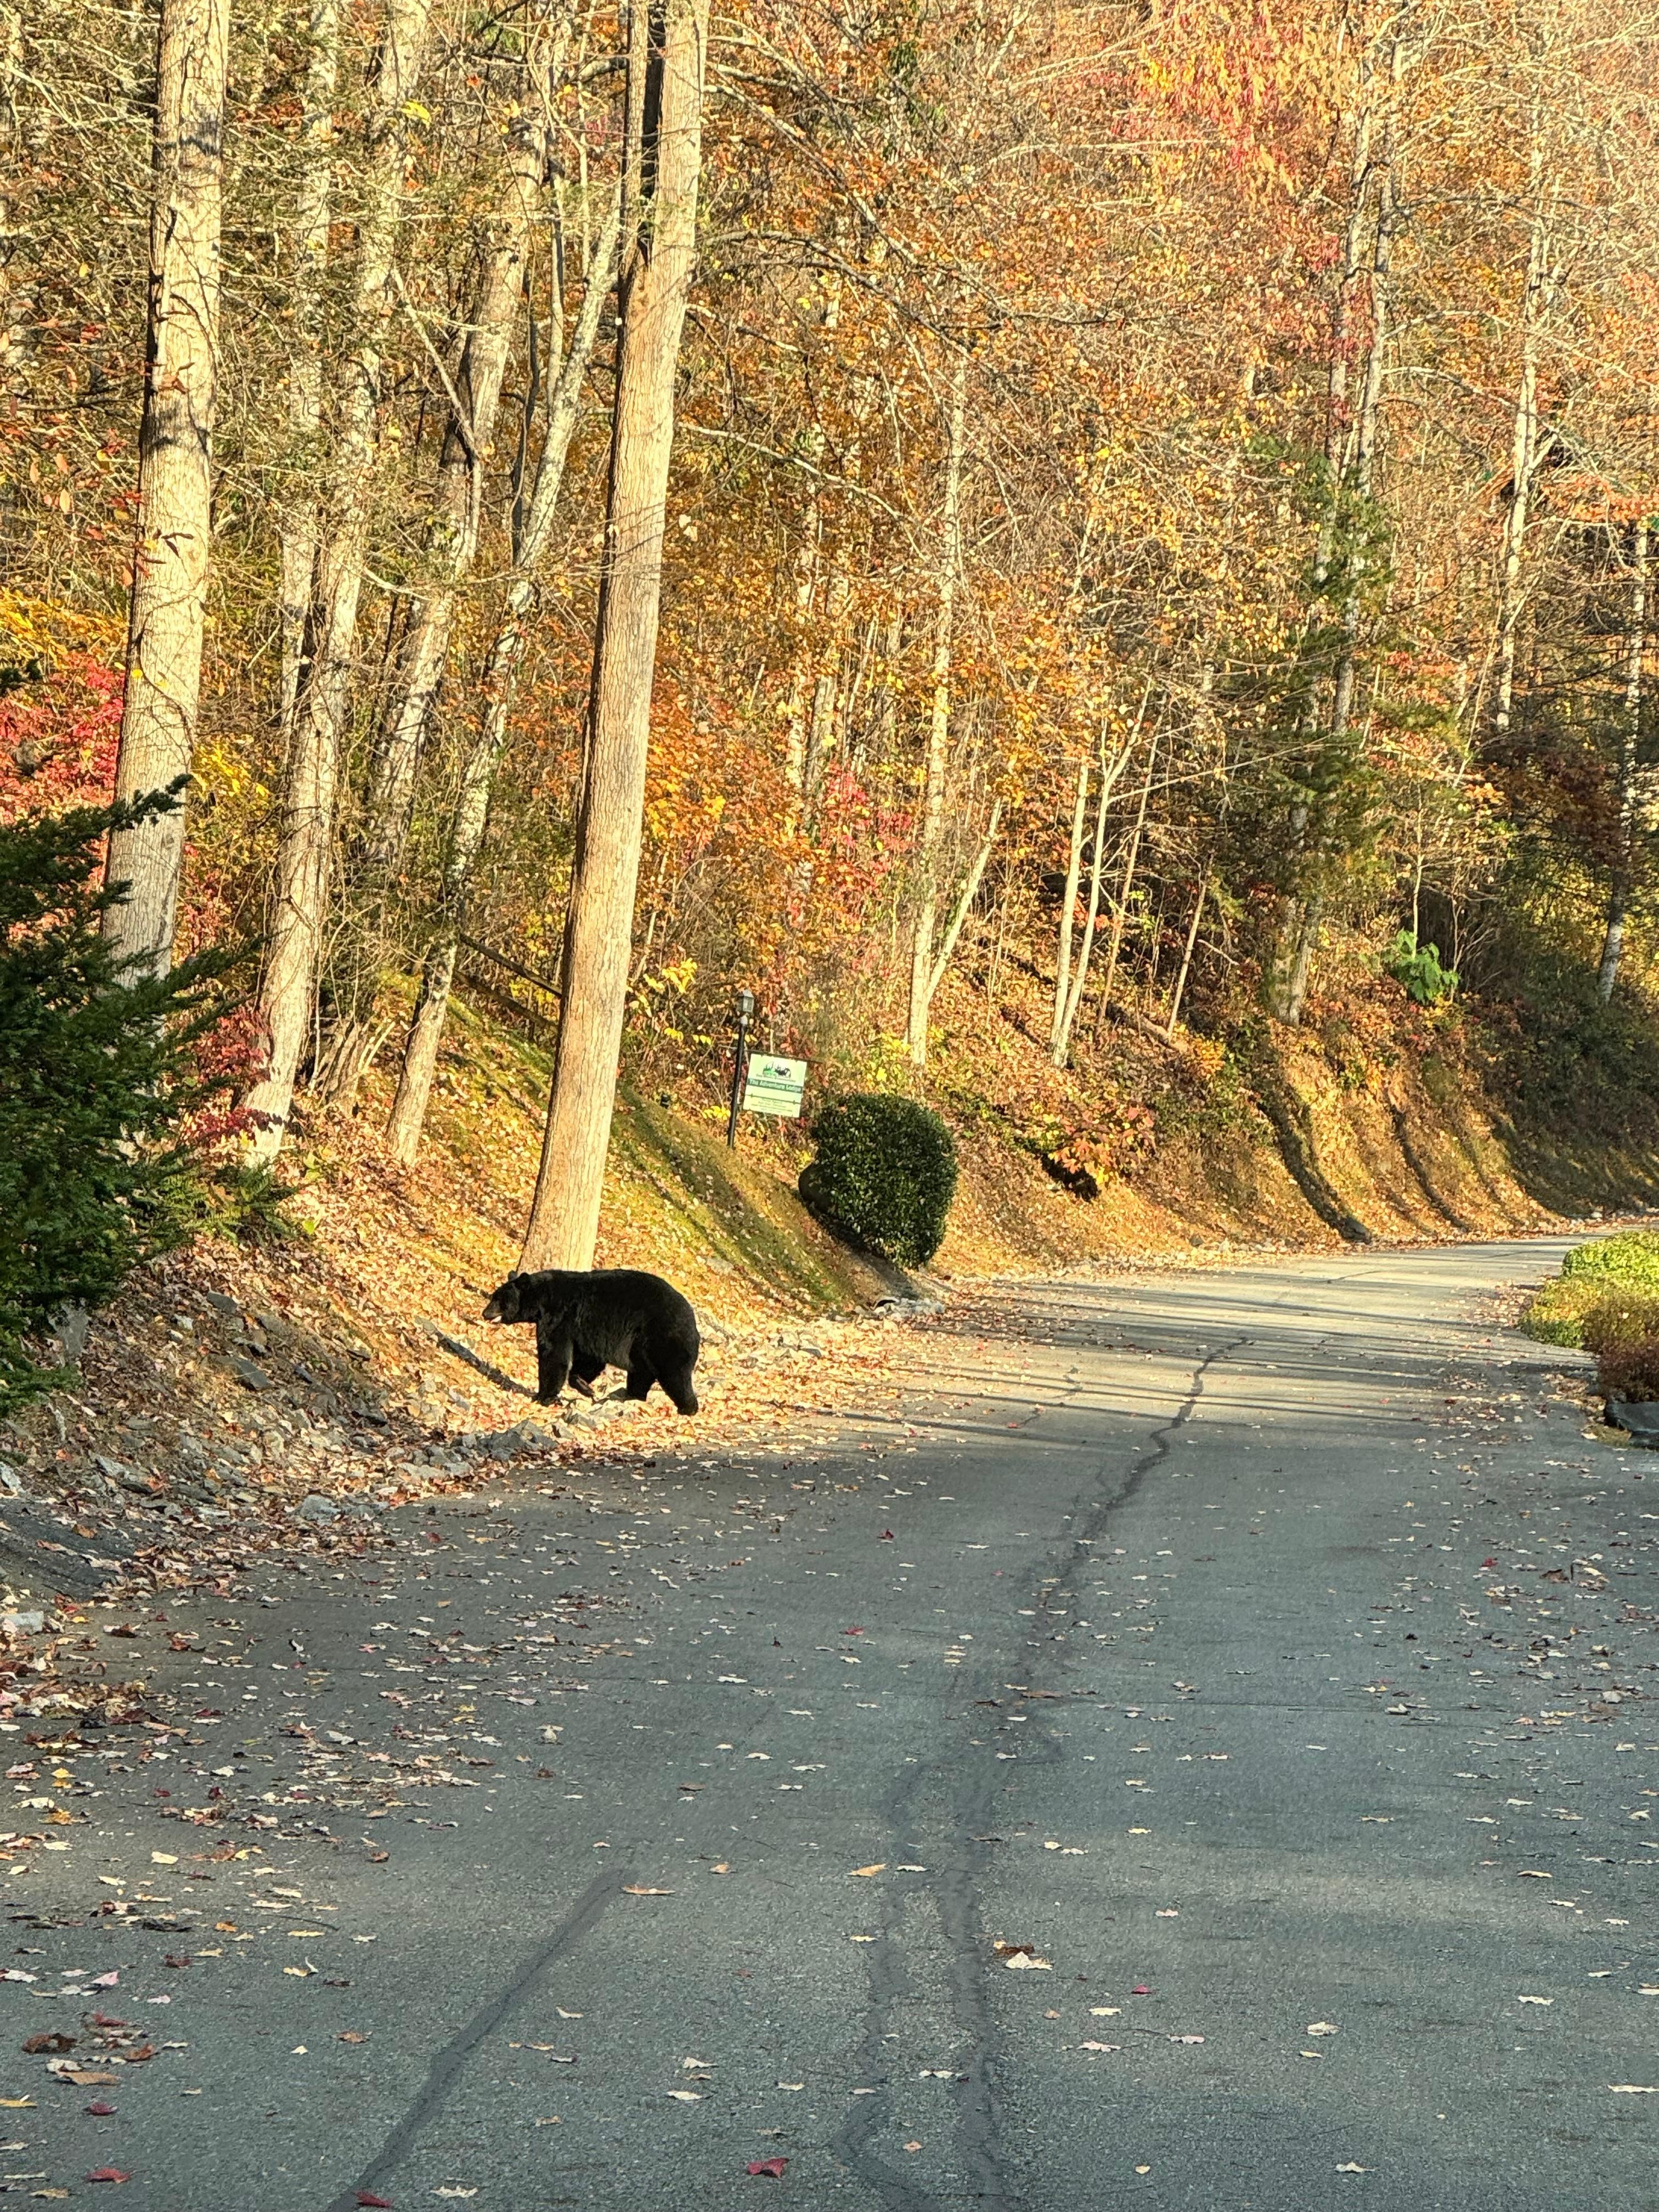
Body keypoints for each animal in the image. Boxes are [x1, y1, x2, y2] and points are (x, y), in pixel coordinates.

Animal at [481, 1267, 701, 1416]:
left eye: (499, 1300)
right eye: (494, 1296)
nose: (485, 1313)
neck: (542, 1301)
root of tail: (693, 1321)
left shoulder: (560, 1318)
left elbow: (554, 1355)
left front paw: (544, 1396)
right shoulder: (586, 1333)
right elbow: (588, 1360)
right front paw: (585, 1387)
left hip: (662, 1339)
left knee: (674, 1374)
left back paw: (688, 1408)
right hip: (640, 1349)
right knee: (641, 1374)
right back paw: (632, 1396)